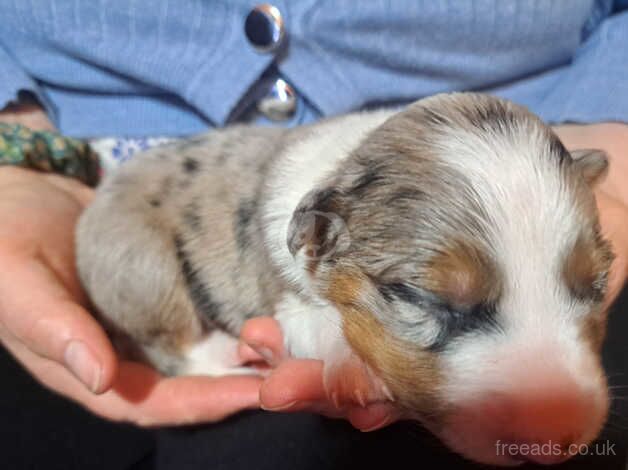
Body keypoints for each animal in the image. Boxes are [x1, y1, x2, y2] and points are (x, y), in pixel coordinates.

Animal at [77, 93, 612, 464]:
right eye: (427, 299)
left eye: (597, 284)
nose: (558, 440)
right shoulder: (284, 295)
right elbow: (316, 322)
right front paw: (356, 366)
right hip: (138, 262)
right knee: (169, 344)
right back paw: (227, 356)